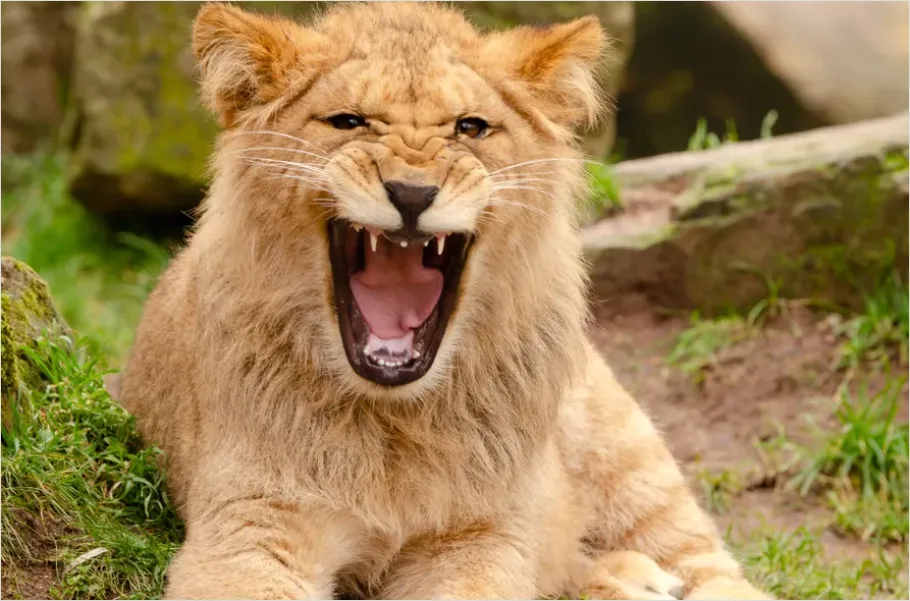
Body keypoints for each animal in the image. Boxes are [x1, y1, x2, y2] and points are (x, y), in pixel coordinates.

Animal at [118, 3, 772, 600]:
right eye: (348, 121)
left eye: (471, 127)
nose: (411, 193)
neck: (394, 421)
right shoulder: (254, 519)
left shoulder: (481, 535)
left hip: (630, 454)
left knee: (705, 561)